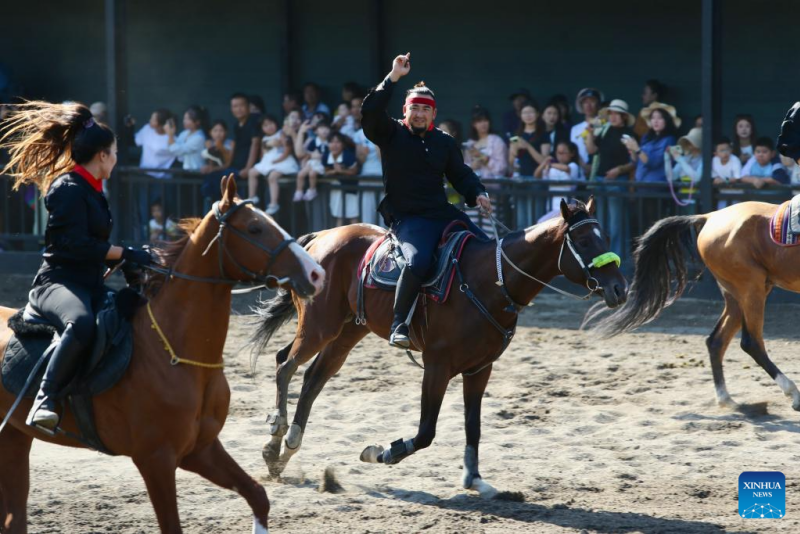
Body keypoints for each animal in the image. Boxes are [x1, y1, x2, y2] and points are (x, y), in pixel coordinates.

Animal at [0, 175, 325, 534]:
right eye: (255, 228)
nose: (316, 273)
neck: (180, 356)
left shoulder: (200, 450)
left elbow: (258, 496)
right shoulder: (155, 460)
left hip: (14, 437)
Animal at [252, 198, 628, 496]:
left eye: (606, 238)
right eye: (583, 240)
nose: (619, 289)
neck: (489, 280)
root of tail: (322, 236)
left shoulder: (479, 369)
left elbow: (473, 427)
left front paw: (475, 479)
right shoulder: (437, 366)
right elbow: (426, 432)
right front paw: (381, 452)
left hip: (346, 332)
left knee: (312, 378)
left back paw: (285, 451)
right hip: (320, 326)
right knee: (286, 365)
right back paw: (276, 438)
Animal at [586, 200, 800, 412]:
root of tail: (710, 216)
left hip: (742, 294)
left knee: (716, 341)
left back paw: (725, 397)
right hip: (750, 288)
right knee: (751, 342)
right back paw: (793, 393)